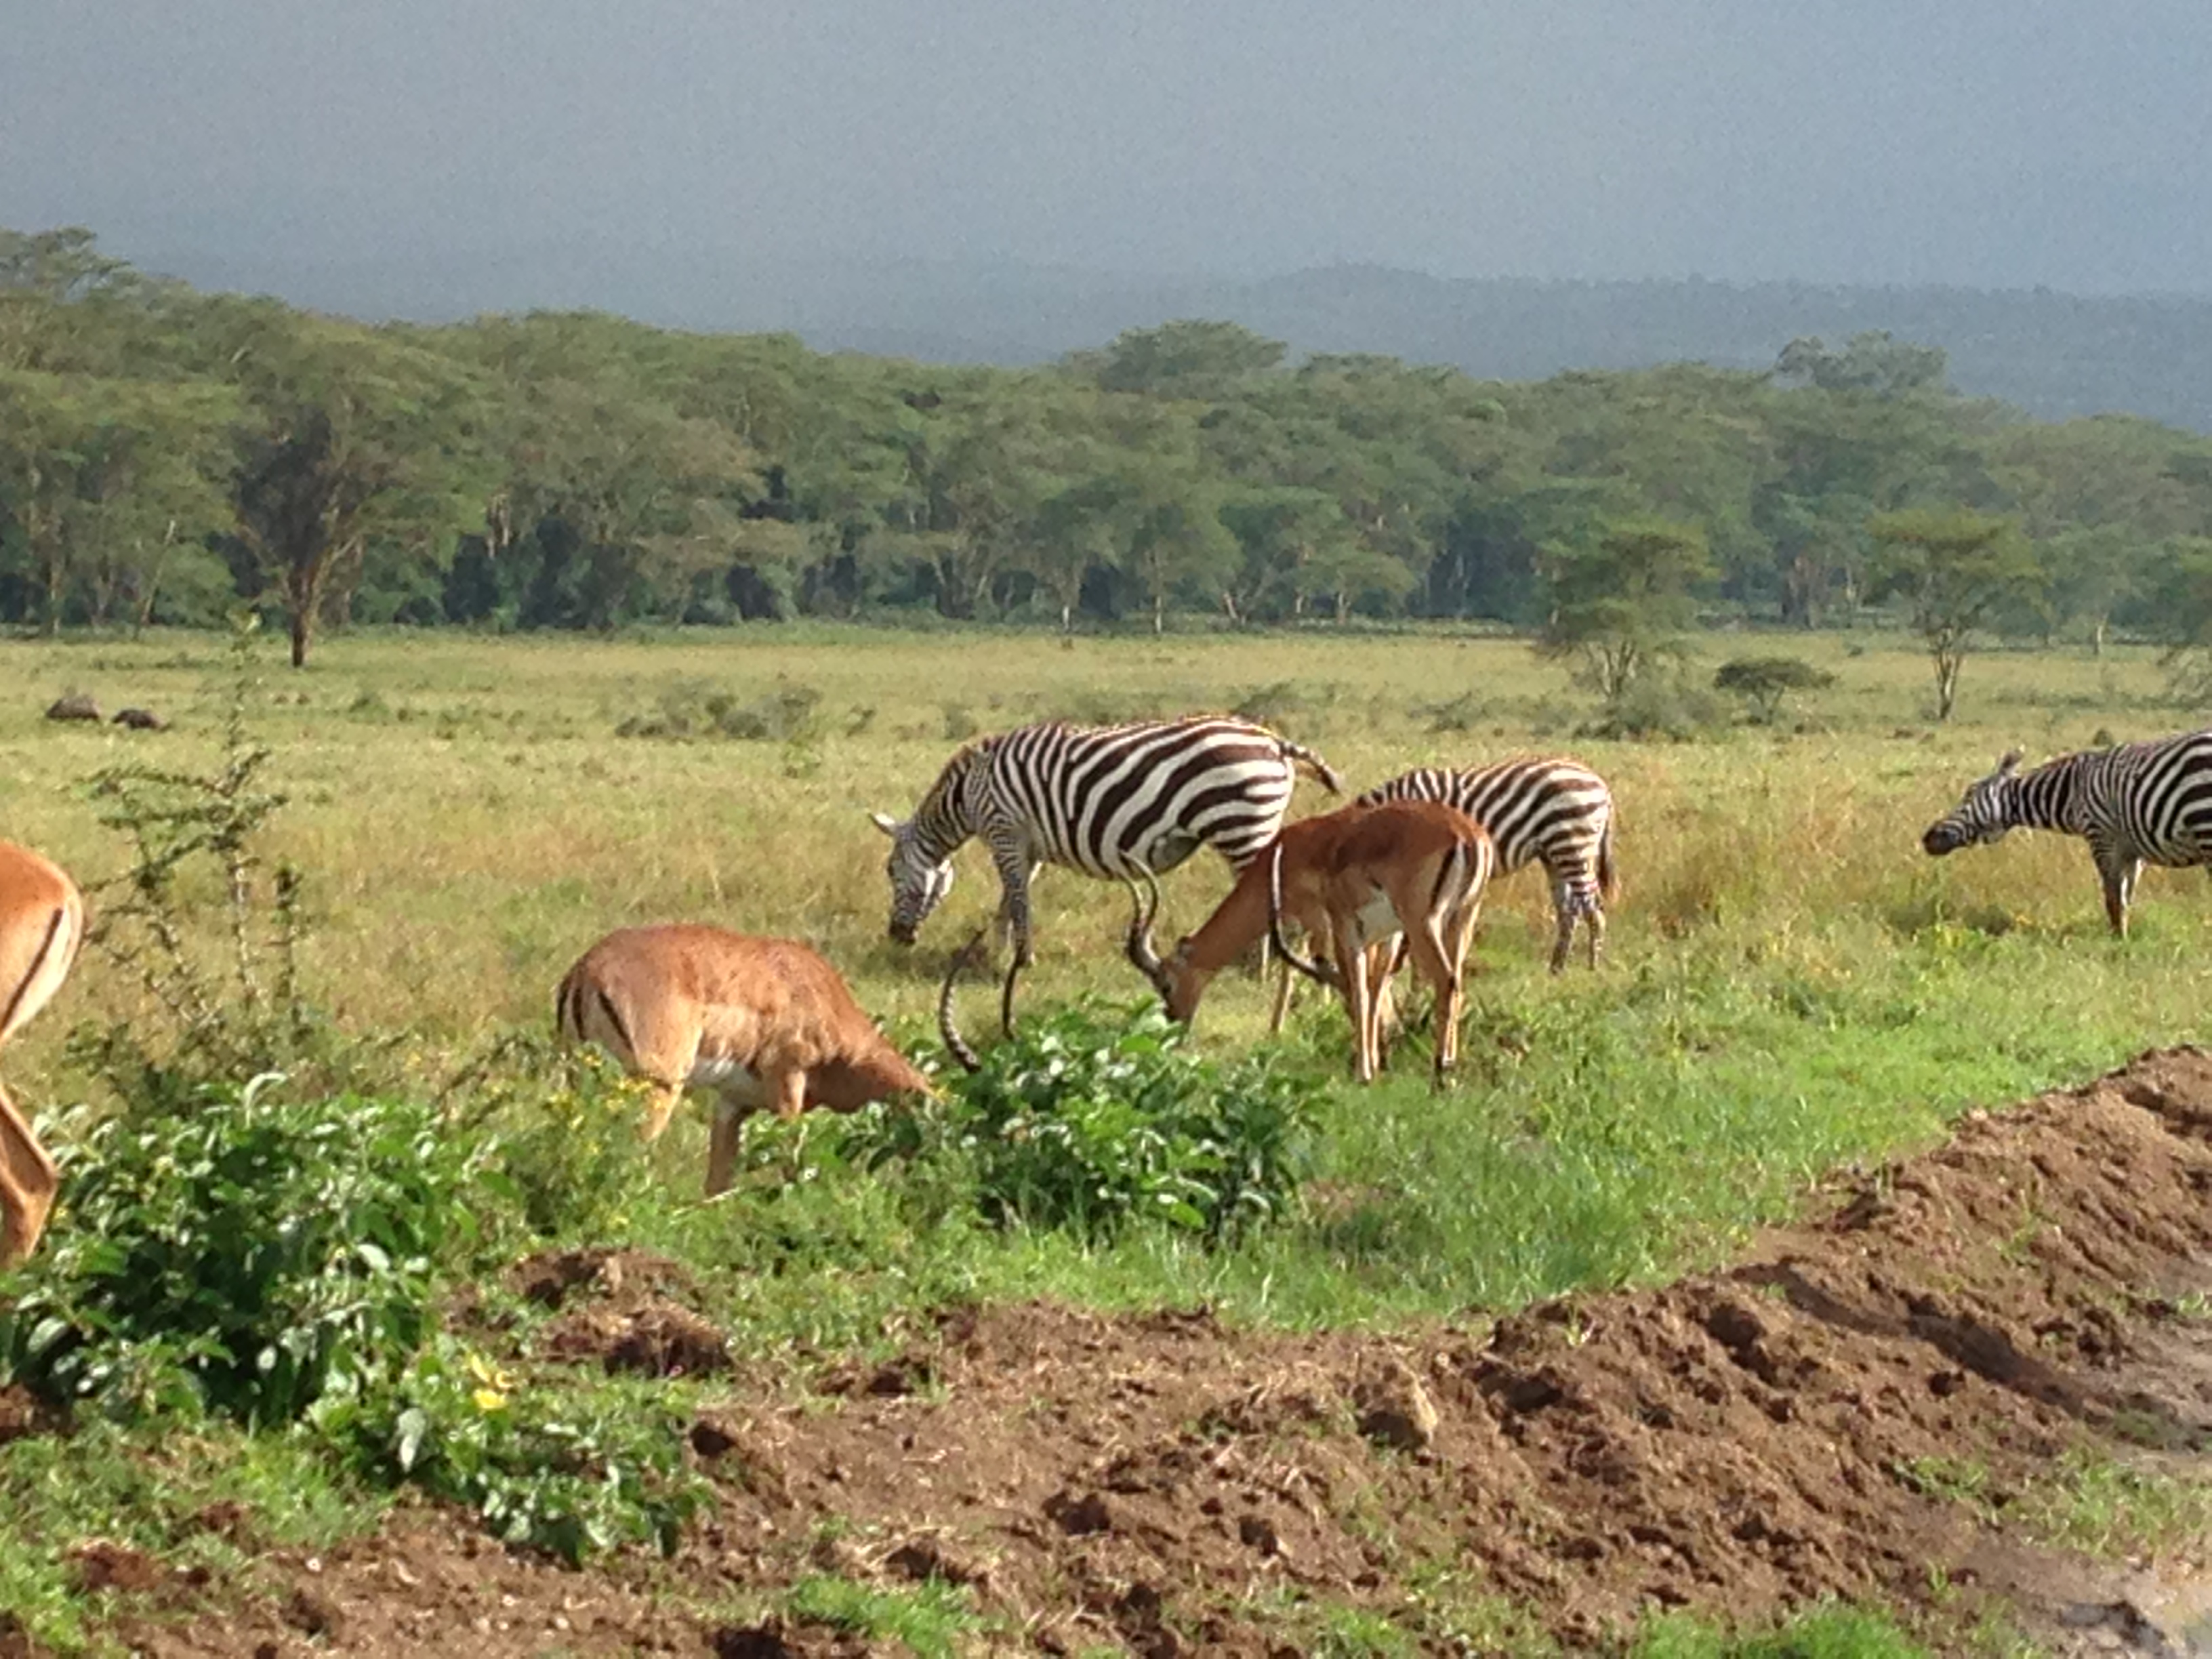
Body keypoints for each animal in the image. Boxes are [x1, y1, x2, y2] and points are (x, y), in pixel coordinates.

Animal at [562, 924, 933, 1194]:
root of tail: (587, 967)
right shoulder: (788, 1084)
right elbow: (790, 1161)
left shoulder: (732, 1103)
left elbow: (717, 1183)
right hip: (659, 1087)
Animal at [872, 716, 1336, 1035]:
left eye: (891, 871)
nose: (897, 937)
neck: (967, 795)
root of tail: (1273, 741)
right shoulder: (1029, 846)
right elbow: (1010, 900)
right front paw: (996, 955)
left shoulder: (1005, 832)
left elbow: (1018, 900)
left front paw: (1020, 960)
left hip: (1242, 825)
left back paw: (1260, 971)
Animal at [1274, 760, 1619, 1035]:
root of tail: (1599, 783)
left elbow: (1410, 951)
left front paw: (1415, 993)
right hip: (1553, 853)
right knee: (1568, 909)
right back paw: (1557, 969)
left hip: (1572, 842)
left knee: (1593, 906)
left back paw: (1592, 966)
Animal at [1929, 739, 2212, 942]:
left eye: (1968, 795)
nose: (1927, 838)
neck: (2072, 791)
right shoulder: (2132, 851)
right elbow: (2126, 898)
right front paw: (2124, 936)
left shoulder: (2101, 836)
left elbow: (2112, 897)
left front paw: (2116, 940)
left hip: (2204, 824)